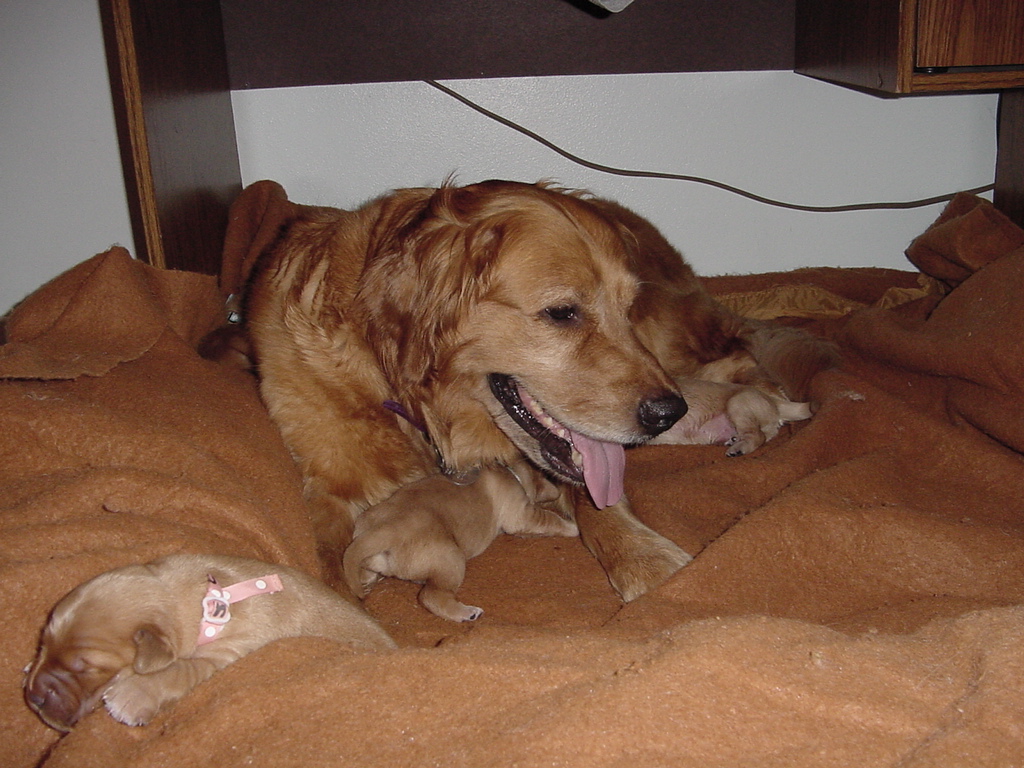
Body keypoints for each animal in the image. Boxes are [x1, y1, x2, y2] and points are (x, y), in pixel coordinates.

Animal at [24, 557, 393, 729]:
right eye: (43, 642)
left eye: (85, 669)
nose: (32, 697)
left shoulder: (232, 649)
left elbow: (180, 670)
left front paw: (133, 694)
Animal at [241, 179, 839, 602]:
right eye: (561, 312)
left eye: (625, 307)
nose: (669, 413)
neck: (417, 412)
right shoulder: (325, 488)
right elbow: (328, 567)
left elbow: (598, 504)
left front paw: (646, 562)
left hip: (676, 341)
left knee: (742, 356)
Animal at [344, 460, 577, 622]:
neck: (512, 473)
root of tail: (387, 529)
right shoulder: (522, 514)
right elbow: (551, 518)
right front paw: (573, 526)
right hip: (451, 560)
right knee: (431, 597)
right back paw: (466, 613)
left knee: (366, 572)